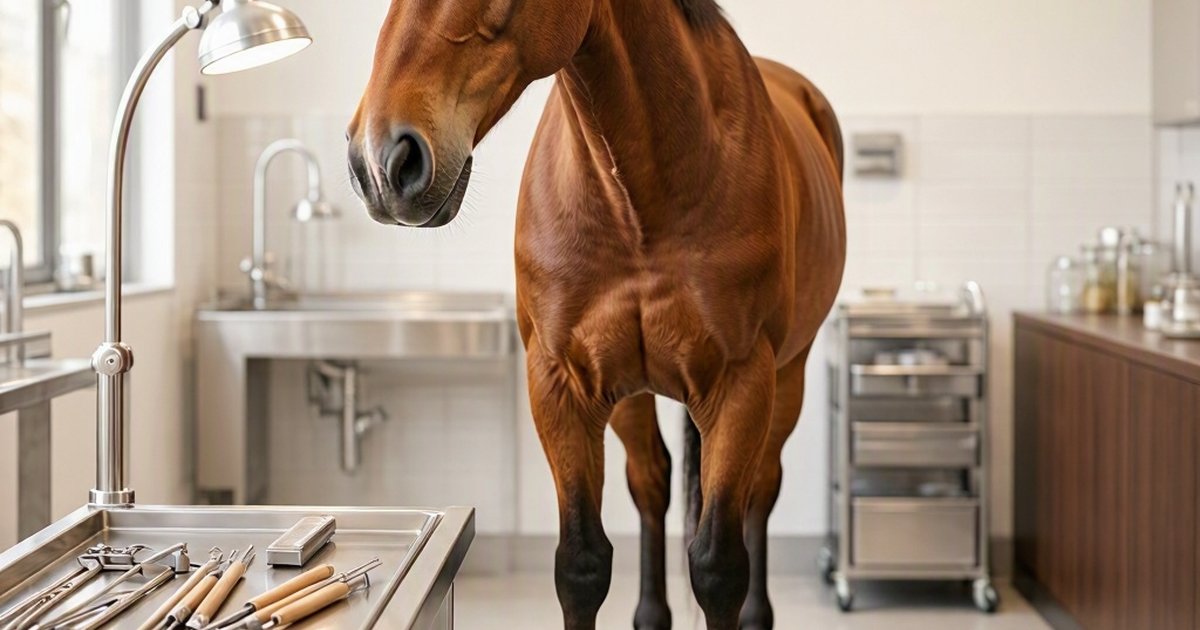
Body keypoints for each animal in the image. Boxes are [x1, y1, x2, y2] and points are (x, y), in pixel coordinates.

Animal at [347, 0, 846, 628]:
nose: (379, 160)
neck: (638, 201)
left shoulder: (742, 383)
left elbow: (718, 568)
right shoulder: (559, 383)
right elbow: (582, 564)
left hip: (788, 376)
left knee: (761, 490)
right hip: (632, 391)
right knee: (652, 481)